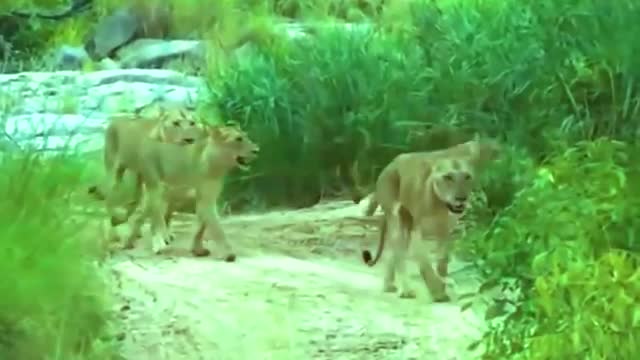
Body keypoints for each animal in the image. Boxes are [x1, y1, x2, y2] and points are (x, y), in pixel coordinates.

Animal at [117, 122, 260, 260]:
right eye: (238, 139)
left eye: (246, 136)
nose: (257, 150)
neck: (217, 167)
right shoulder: (206, 201)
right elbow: (217, 229)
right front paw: (228, 253)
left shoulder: (207, 198)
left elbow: (201, 227)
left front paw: (197, 250)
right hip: (155, 192)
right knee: (142, 218)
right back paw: (147, 244)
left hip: (168, 202)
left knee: (158, 218)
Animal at [360, 136, 500, 302]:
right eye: (448, 177)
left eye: (467, 177)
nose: (461, 198)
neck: (440, 205)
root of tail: (392, 162)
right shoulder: (417, 230)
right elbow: (424, 261)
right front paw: (438, 291)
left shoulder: (446, 229)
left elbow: (443, 259)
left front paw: (442, 281)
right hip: (396, 215)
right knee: (398, 250)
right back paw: (405, 290)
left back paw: (389, 285)